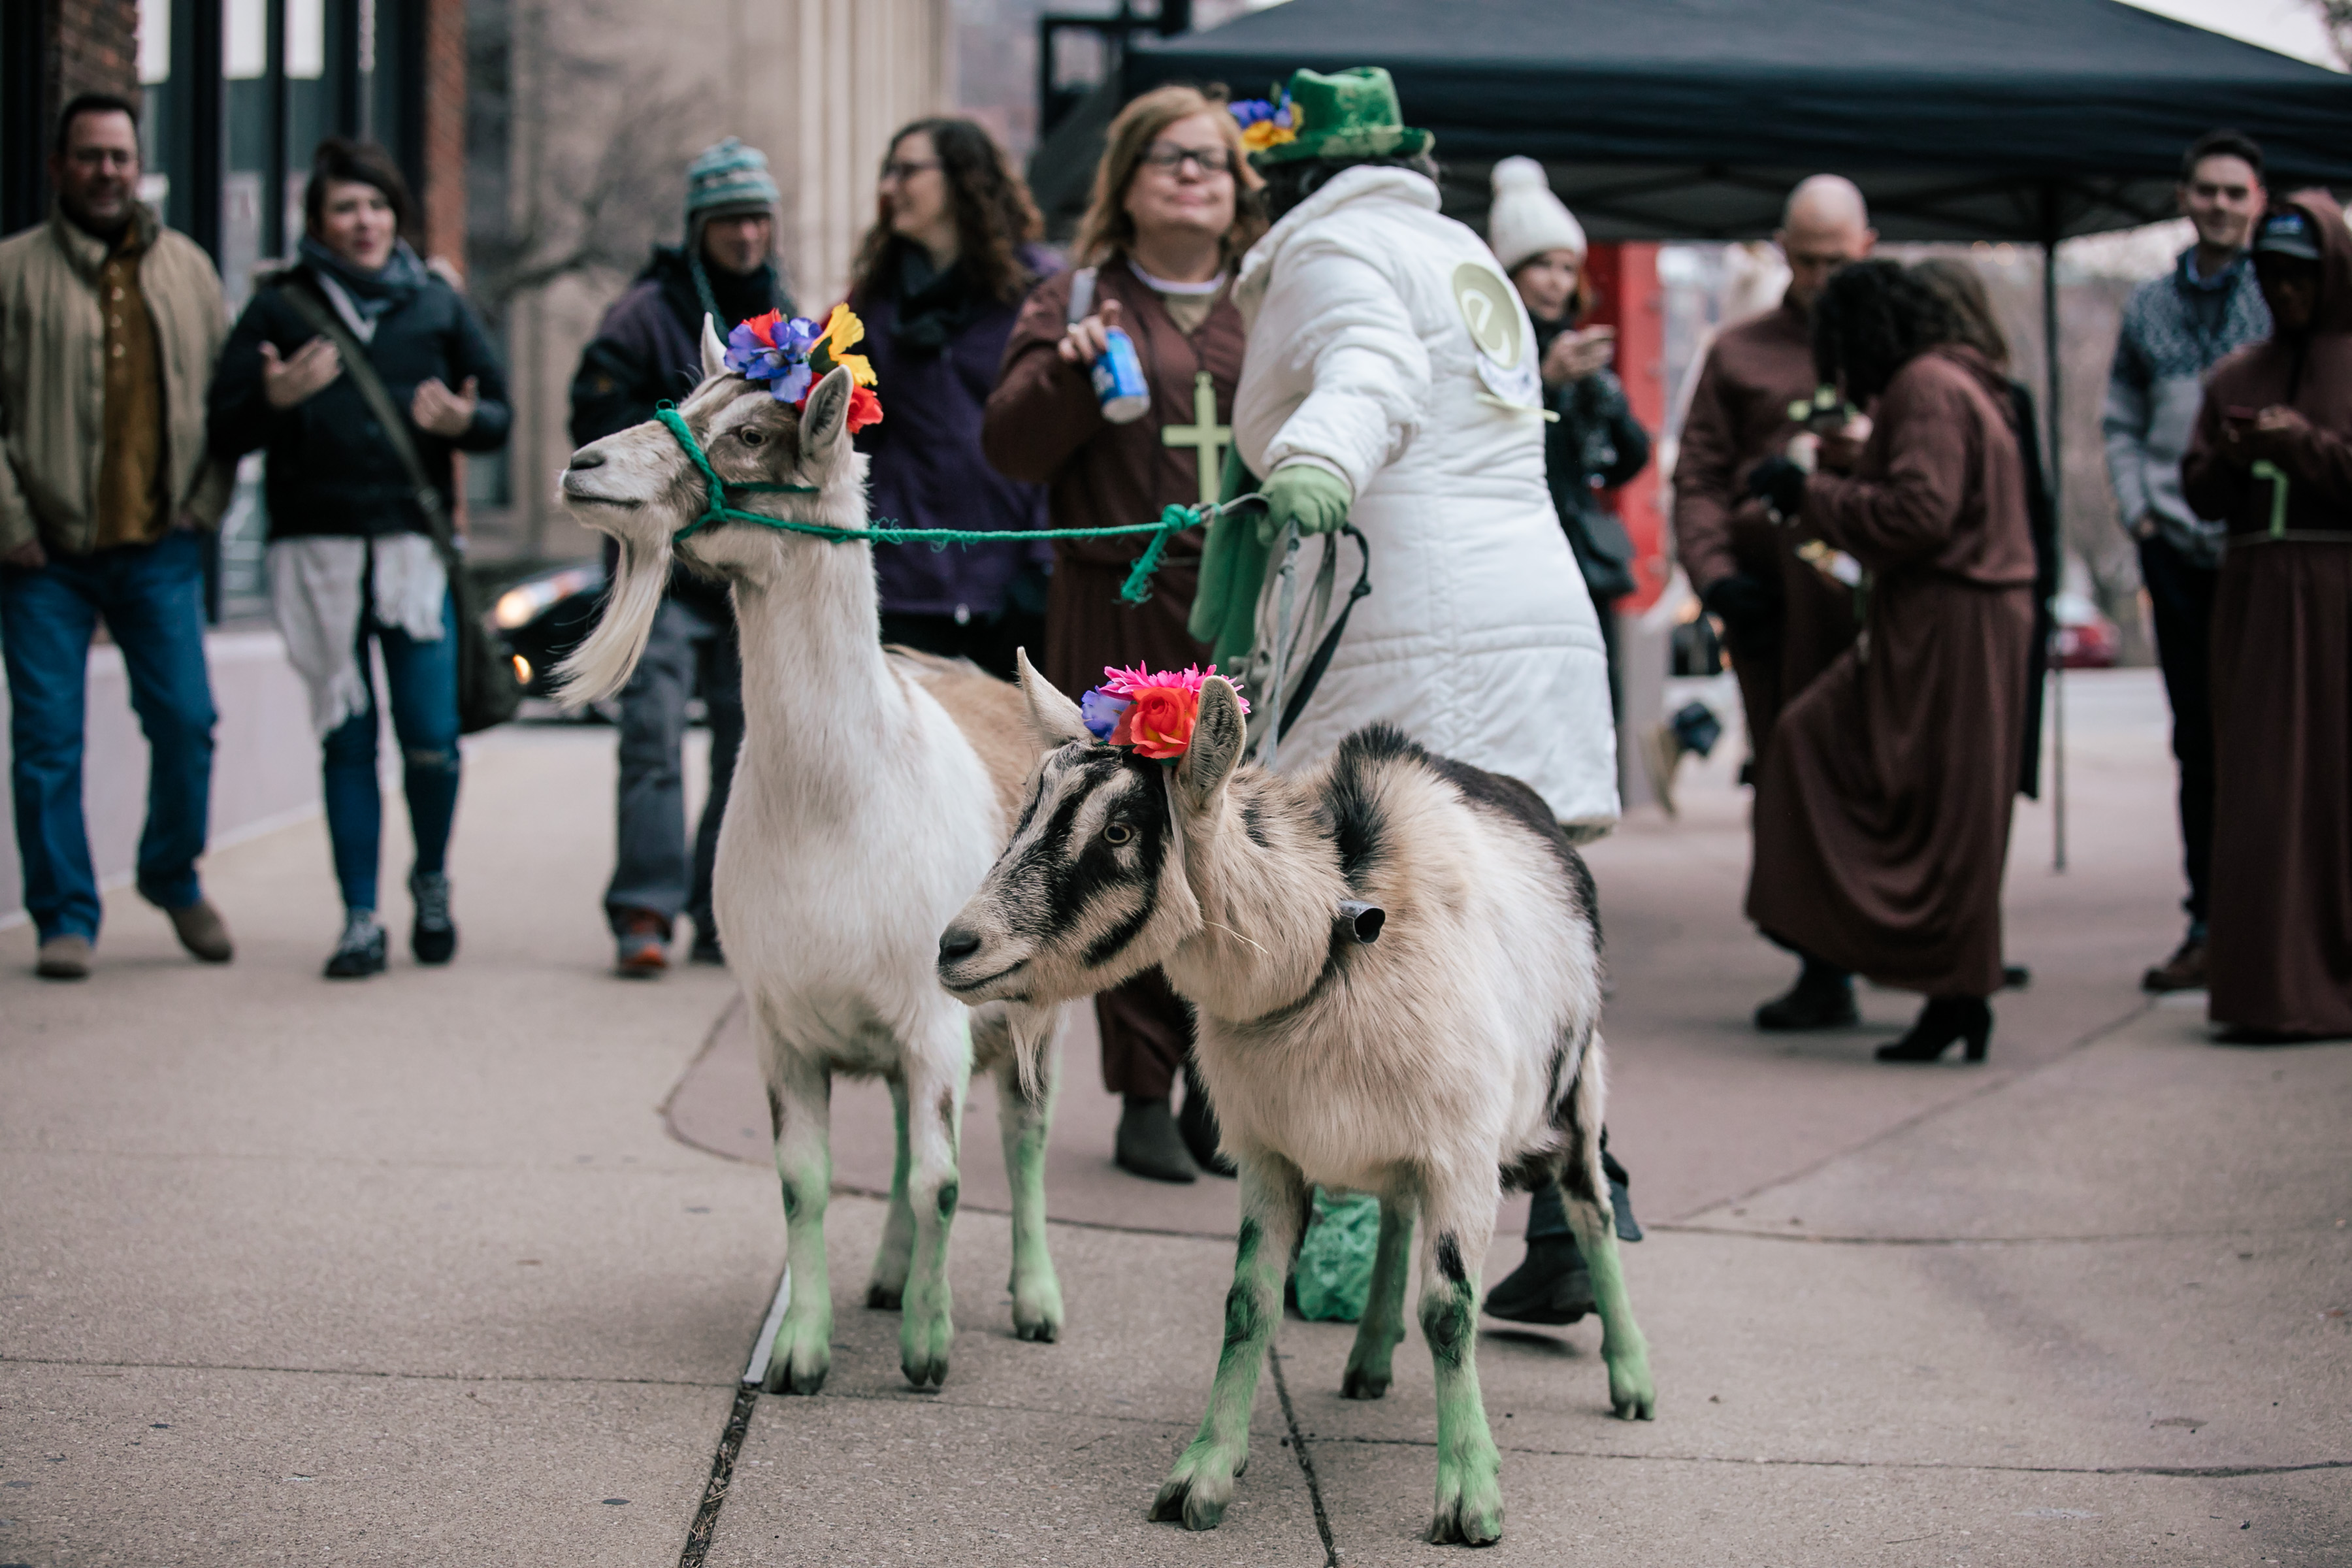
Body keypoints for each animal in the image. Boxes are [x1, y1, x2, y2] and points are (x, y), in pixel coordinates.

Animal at [550, 345, 1068, 1401]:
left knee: (1024, 1138)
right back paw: (889, 1276)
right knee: (912, 1138)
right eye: (691, 397)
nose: (583, 465)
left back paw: (1035, 1301)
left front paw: (928, 1350)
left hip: (1041, 1010)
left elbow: (946, 1180)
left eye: (751, 432)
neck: (836, 806)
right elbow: (806, 1182)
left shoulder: (936, 1018)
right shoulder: (782, 1026)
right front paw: (802, 1351)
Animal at [936, 658, 1656, 1542]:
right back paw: (1369, 1360)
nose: (955, 947)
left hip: (1577, 1090)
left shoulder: (1461, 1155)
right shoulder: (1268, 1153)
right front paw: (1203, 1475)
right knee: (1396, 1217)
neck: (1327, 951)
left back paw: (1631, 1381)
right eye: (1030, 805)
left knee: (1592, 1209)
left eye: (1120, 832)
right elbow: (1248, 1304)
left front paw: (1469, 1498)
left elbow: (1450, 1313)